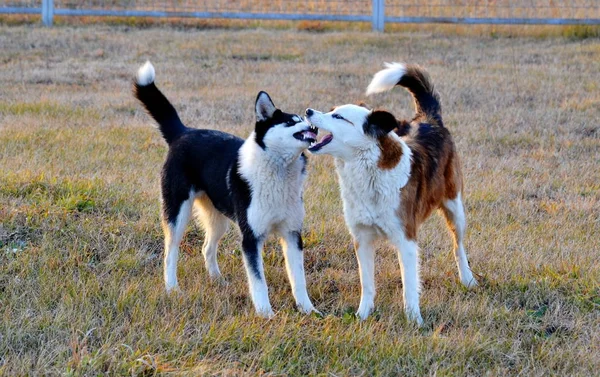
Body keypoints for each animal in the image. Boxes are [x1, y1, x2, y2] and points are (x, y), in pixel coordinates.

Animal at [132, 61, 318, 314]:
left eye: (303, 119)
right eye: (291, 121)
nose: (314, 125)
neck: (278, 172)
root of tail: (183, 132)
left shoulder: (292, 234)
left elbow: (299, 280)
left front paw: (309, 310)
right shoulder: (250, 238)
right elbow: (258, 281)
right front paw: (266, 314)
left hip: (217, 219)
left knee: (207, 248)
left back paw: (217, 280)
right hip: (177, 215)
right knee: (170, 253)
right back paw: (172, 288)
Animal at [308, 61, 476, 324]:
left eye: (338, 116)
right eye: (331, 110)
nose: (307, 111)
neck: (368, 171)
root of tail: (429, 119)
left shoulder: (406, 240)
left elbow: (410, 286)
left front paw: (415, 321)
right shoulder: (362, 238)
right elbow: (367, 284)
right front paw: (363, 315)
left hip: (455, 208)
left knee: (458, 247)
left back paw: (467, 279)